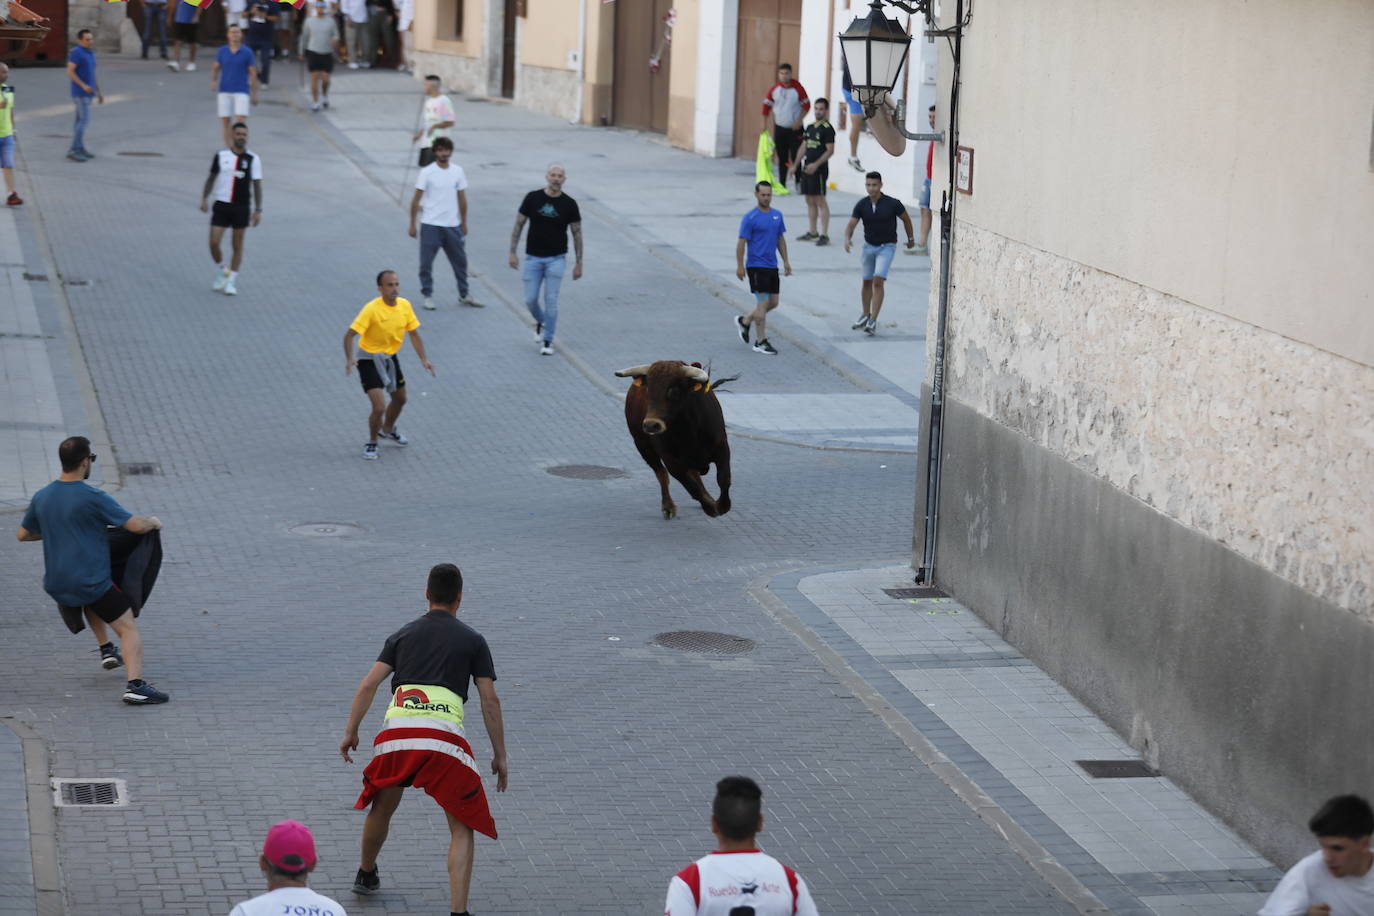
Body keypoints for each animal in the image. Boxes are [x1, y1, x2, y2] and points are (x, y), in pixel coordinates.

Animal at [618, 362, 736, 519]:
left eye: (674, 391)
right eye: (648, 390)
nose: (651, 425)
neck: (689, 429)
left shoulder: (721, 446)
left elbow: (723, 478)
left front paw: (723, 506)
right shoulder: (671, 461)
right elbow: (691, 487)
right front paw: (710, 508)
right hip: (643, 446)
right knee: (661, 474)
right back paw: (668, 506)